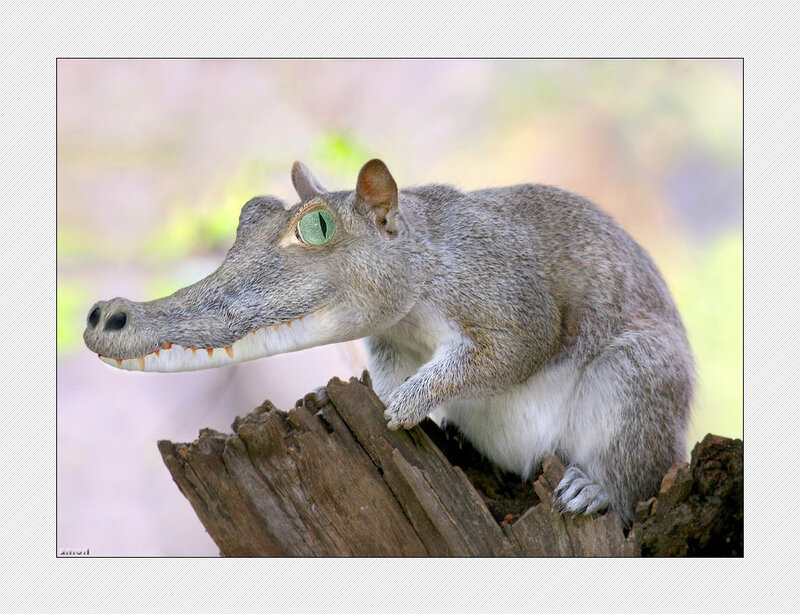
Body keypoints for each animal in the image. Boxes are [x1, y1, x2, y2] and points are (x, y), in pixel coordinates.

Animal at [84, 158, 694, 525]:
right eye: (250, 212)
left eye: (319, 228)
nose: (105, 316)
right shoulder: (391, 342)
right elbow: (389, 374)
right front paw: (373, 399)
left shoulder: (504, 291)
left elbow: (516, 348)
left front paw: (408, 402)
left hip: (639, 381)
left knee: (634, 469)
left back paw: (596, 489)